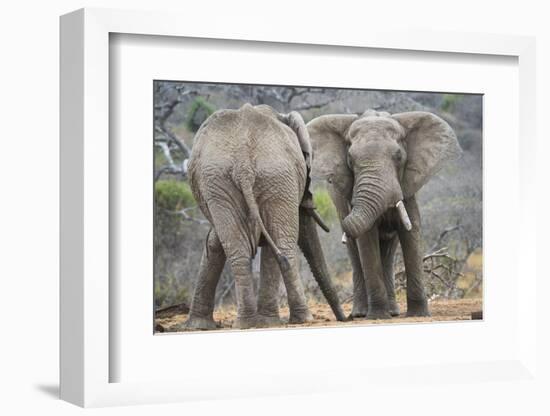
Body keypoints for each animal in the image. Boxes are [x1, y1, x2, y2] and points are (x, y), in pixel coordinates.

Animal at [185, 103, 348, 328]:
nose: (346, 318)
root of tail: (243, 163)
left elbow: (215, 241)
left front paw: (198, 326)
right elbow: (216, 241)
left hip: (232, 182)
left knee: (242, 250)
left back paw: (249, 323)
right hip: (267, 177)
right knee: (280, 244)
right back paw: (297, 319)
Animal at [308, 108, 464, 318]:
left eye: (398, 157)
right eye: (350, 160)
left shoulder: (408, 188)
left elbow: (411, 232)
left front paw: (419, 315)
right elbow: (366, 239)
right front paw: (377, 316)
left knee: (389, 252)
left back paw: (393, 312)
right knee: (355, 253)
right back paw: (361, 314)